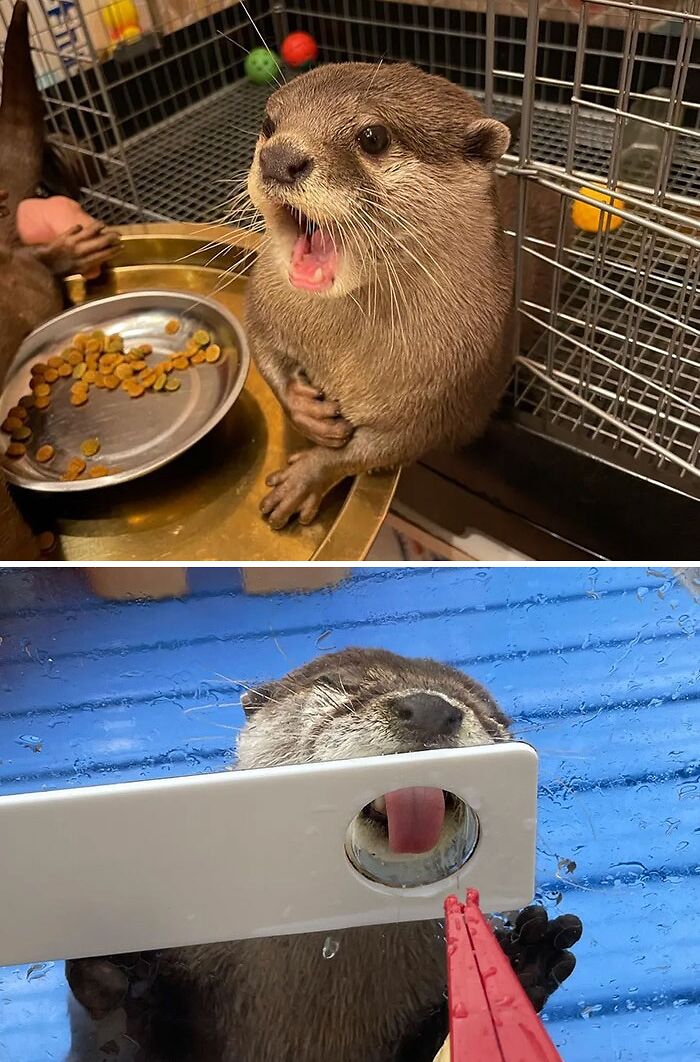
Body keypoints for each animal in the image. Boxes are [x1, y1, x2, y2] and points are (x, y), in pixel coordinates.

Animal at [245, 62, 562, 528]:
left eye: (373, 136)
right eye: (269, 125)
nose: (277, 158)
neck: (338, 356)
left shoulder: (444, 398)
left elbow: (379, 450)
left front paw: (306, 477)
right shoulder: (262, 298)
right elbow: (261, 347)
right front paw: (303, 408)